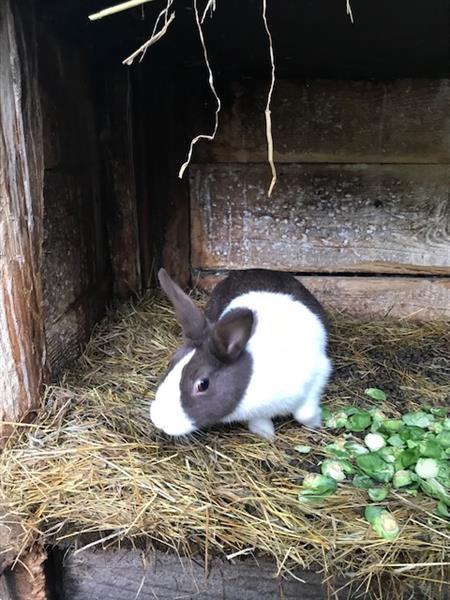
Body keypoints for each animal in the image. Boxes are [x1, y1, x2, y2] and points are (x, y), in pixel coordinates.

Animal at [149, 270, 332, 438]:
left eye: (202, 384)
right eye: (171, 363)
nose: (159, 420)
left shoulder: (319, 373)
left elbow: (305, 414)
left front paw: (315, 424)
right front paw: (266, 434)